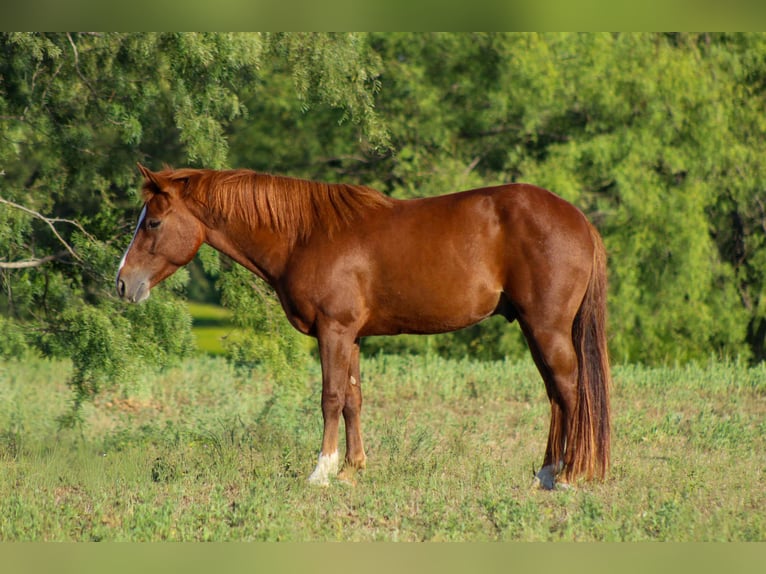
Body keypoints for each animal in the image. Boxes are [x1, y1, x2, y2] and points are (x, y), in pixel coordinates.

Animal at [116, 163, 611, 489]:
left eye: (153, 222)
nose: (123, 283)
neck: (305, 235)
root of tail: (578, 220)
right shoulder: (350, 336)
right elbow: (354, 399)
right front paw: (353, 468)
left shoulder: (333, 331)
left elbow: (331, 398)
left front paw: (321, 471)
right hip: (534, 328)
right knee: (555, 394)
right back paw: (546, 472)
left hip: (545, 327)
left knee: (569, 391)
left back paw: (569, 475)